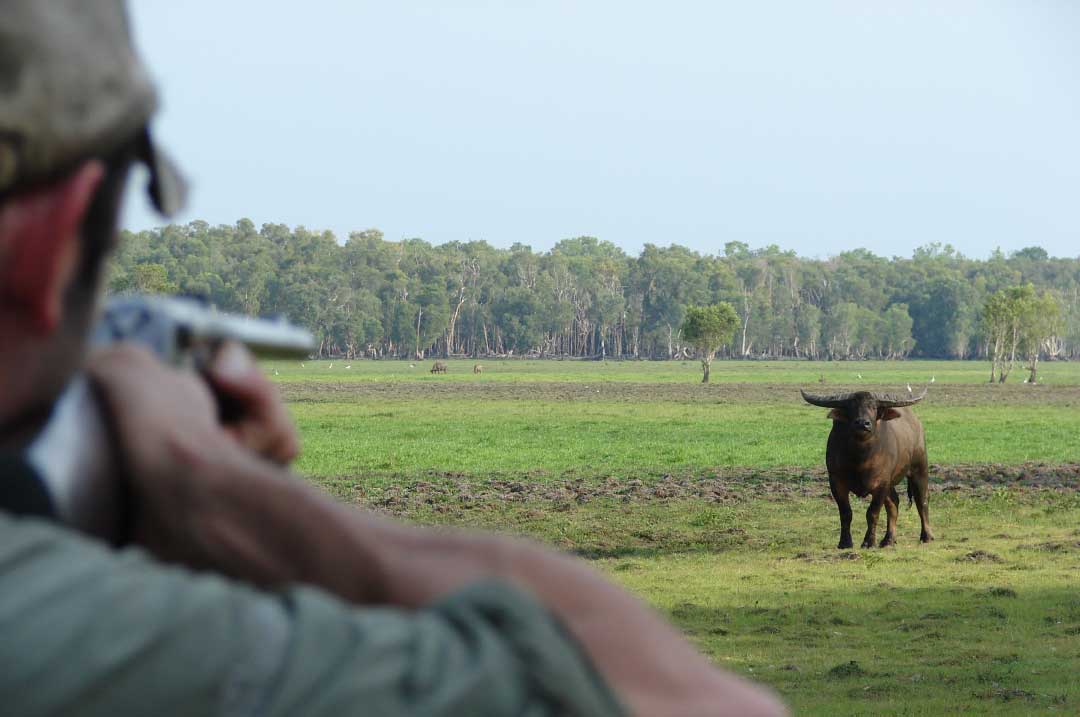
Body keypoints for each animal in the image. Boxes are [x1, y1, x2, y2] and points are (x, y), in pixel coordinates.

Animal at [799, 393, 933, 548]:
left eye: (874, 407)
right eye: (851, 406)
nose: (863, 423)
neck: (861, 458)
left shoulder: (881, 483)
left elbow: (872, 513)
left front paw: (869, 542)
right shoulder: (836, 482)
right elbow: (846, 513)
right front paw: (845, 542)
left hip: (919, 468)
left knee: (922, 500)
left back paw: (926, 536)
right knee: (894, 503)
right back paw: (888, 539)